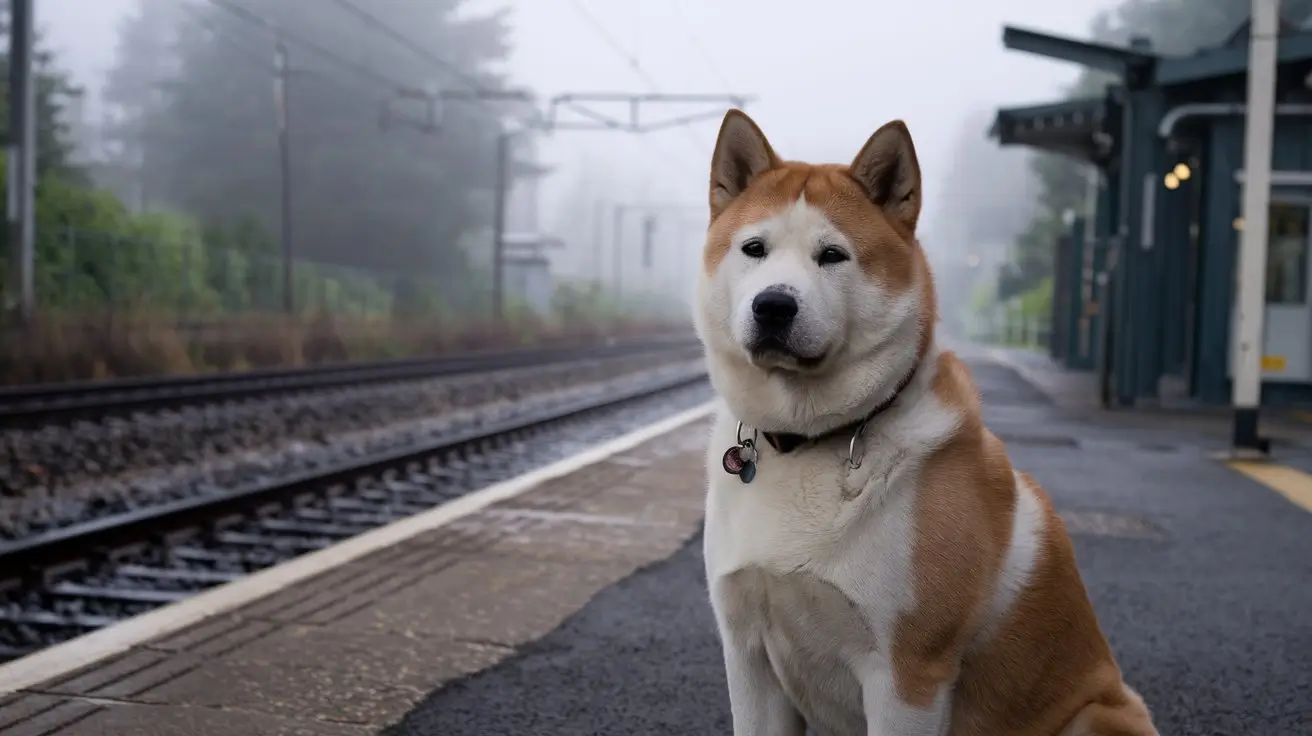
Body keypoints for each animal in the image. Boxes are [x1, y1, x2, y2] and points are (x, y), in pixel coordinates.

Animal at [692, 108, 1154, 734]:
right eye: (754, 248)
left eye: (832, 255)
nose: (774, 305)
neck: (810, 441)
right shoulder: (748, 655)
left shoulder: (906, 676)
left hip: (1100, 713)